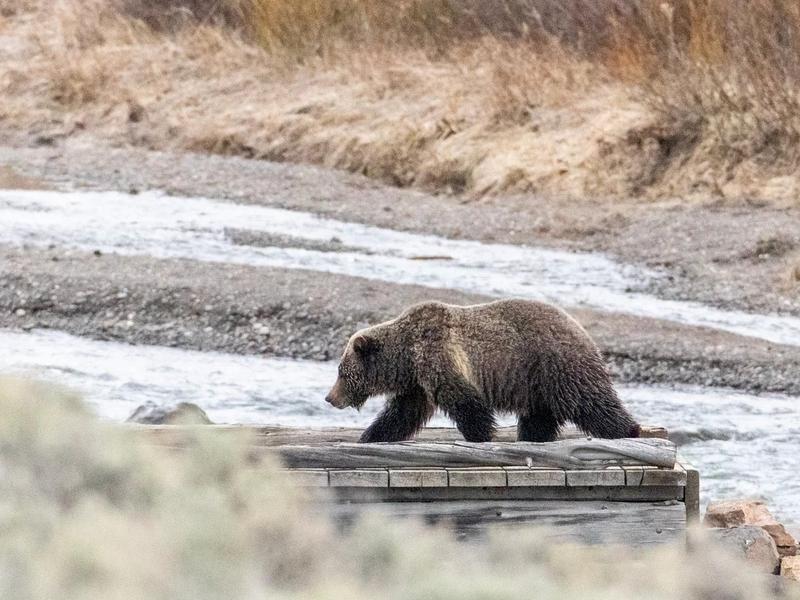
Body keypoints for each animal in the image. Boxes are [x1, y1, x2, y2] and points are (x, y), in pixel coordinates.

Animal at [322, 298, 640, 442]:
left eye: (341, 372)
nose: (329, 397)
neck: (406, 357)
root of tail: (581, 328)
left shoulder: (438, 356)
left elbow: (464, 400)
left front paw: (479, 434)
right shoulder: (417, 382)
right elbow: (402, 412)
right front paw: (371, 435)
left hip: (557, 364)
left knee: (590, 401)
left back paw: (627, 429)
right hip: (536, 381)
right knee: (539, 415)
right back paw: (533, 436)